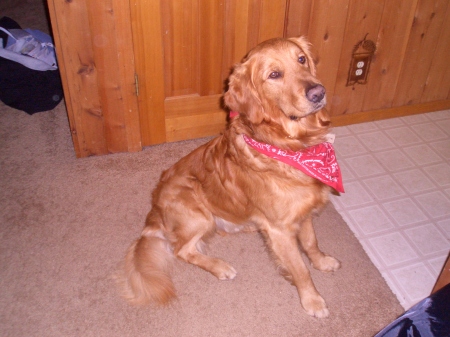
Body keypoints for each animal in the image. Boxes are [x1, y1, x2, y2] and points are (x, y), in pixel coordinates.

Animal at [118, 36, 342, 318]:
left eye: (301, 59)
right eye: (274, 75)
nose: (318, 92)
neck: (295, 145)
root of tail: (154, 209)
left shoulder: (304, 212)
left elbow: (311, 242)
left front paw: (322, 261)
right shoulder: (280, 229)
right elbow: (300, 269)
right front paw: (312, 300)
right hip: (198, 213)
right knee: (182, 250)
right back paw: (220, 266)